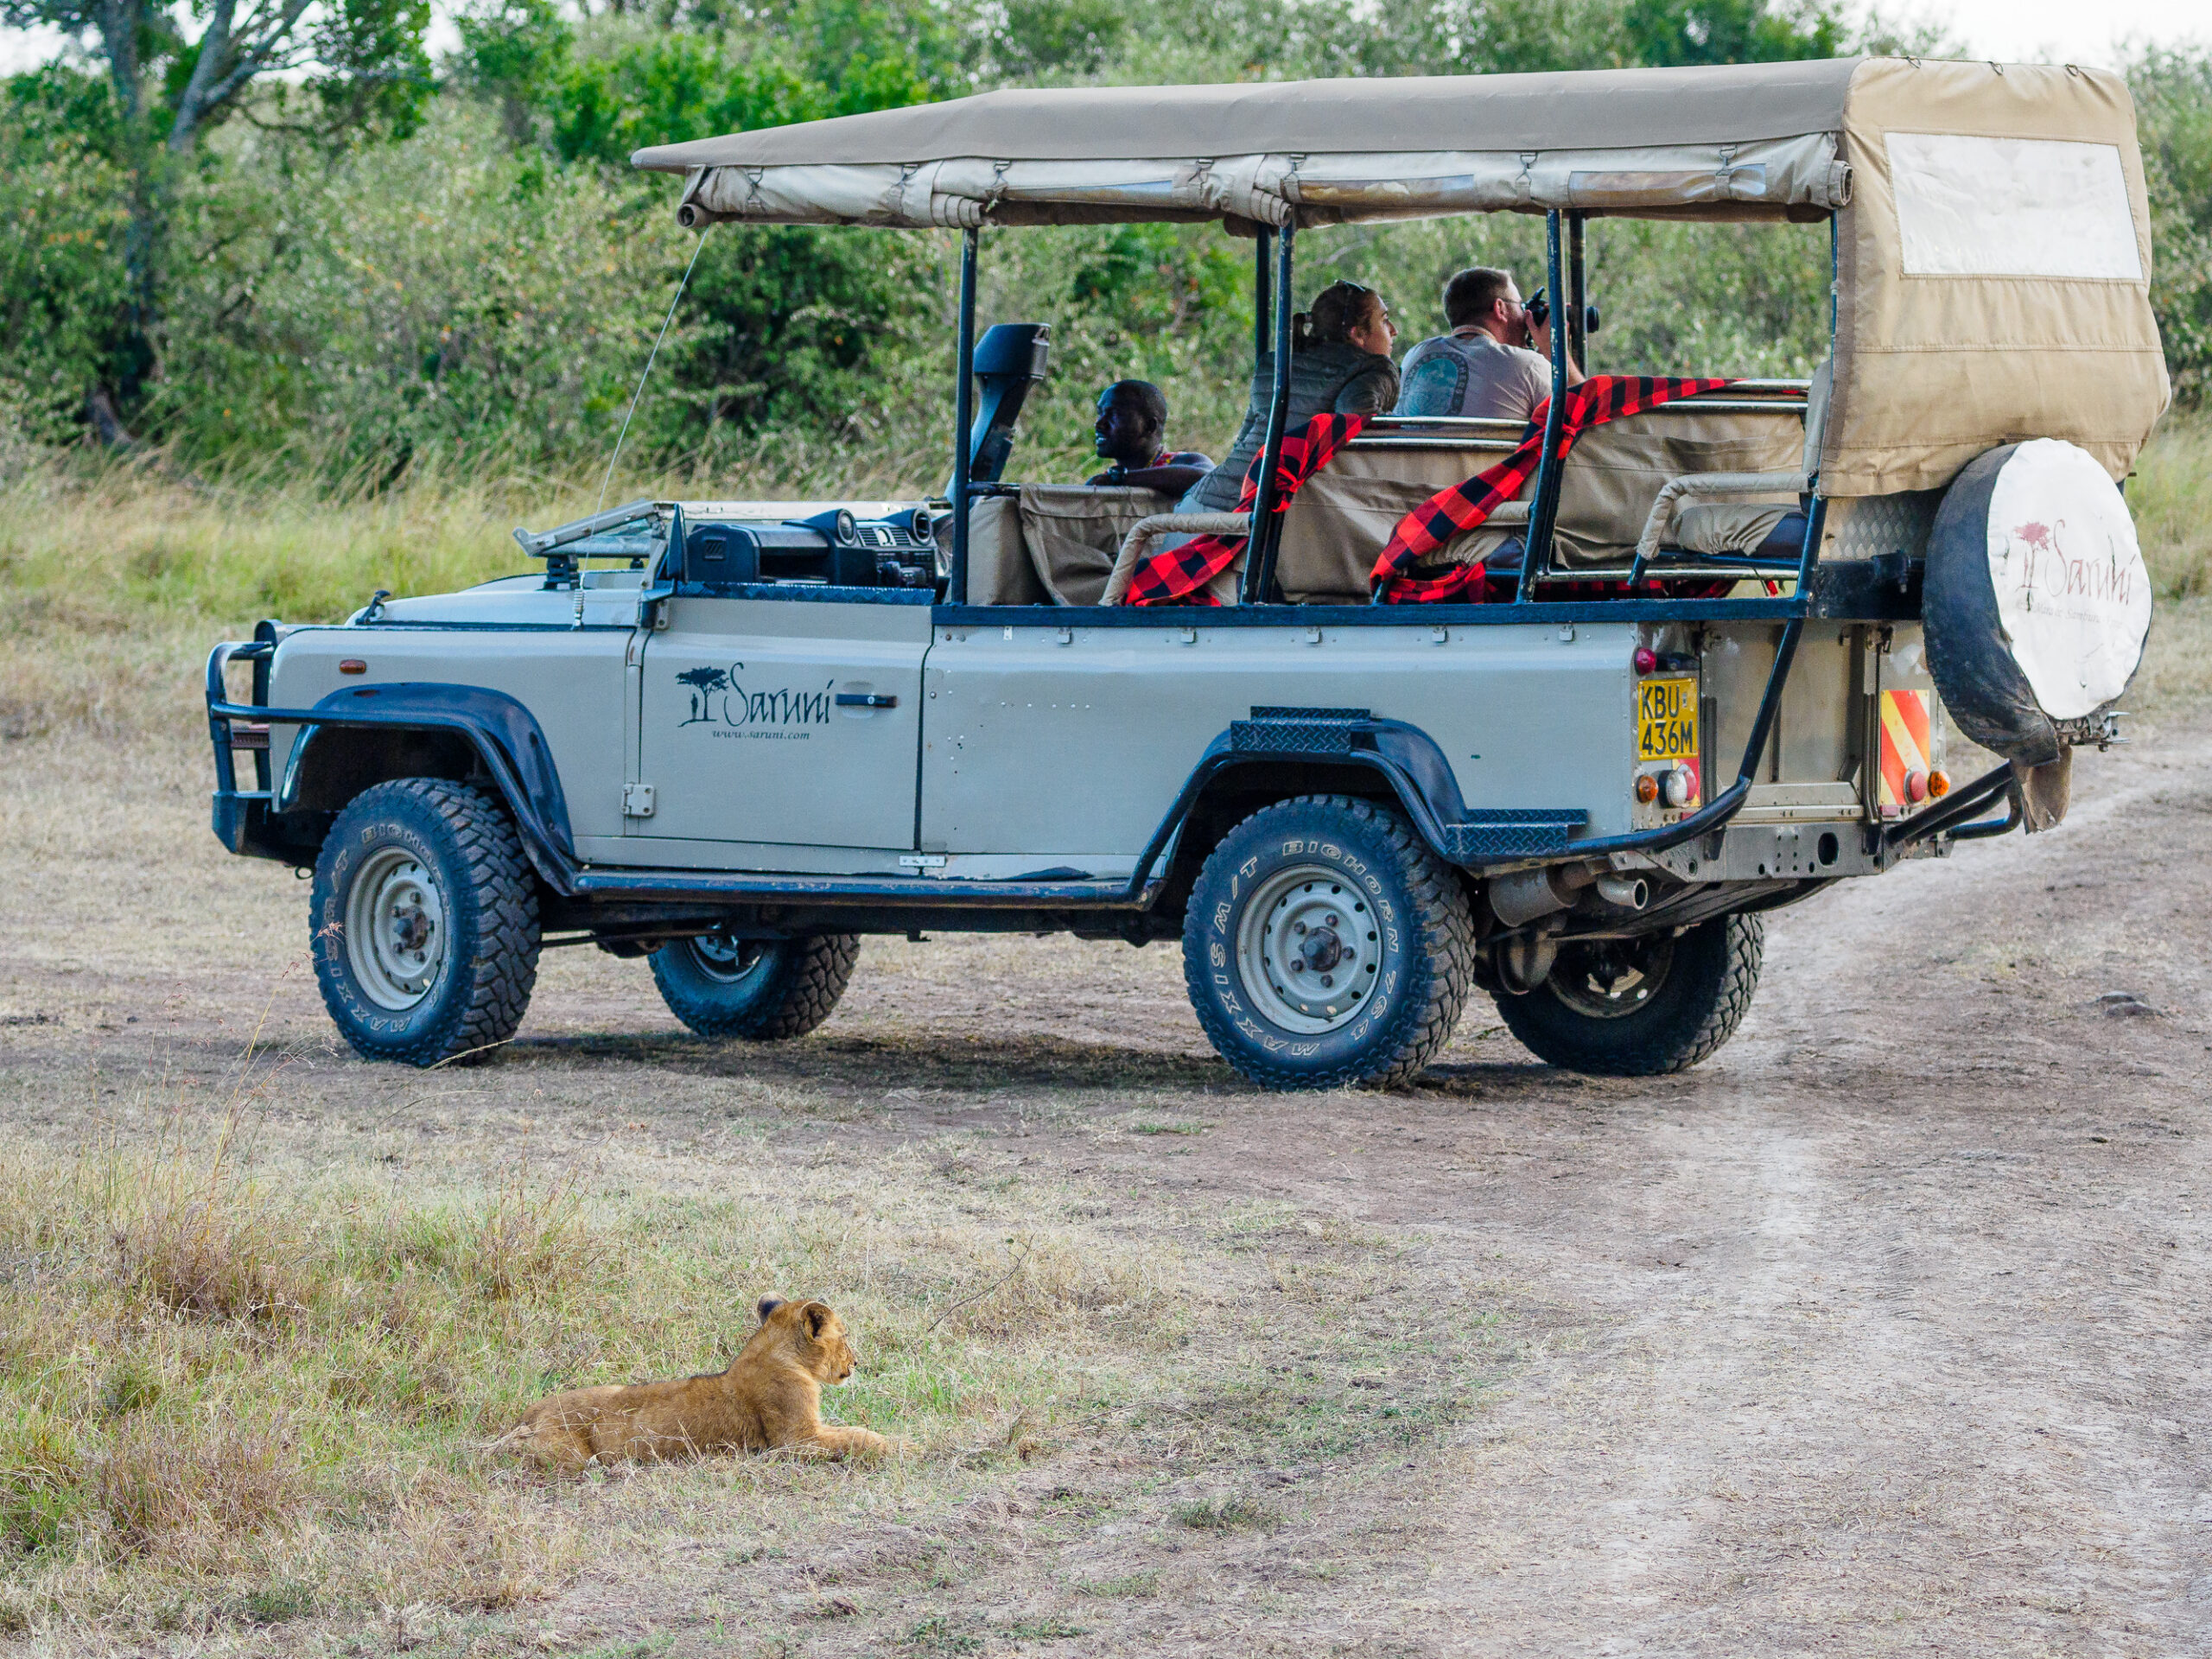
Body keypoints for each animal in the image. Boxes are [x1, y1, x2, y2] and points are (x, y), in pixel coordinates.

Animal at [502, 1296, 908, 1471]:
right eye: (845, 1336)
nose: (855, 1363)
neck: (777, 1351)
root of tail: (526, 1417)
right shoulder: (797, 1439)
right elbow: (856, 1436)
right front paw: (905, 1446)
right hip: (572, 1456)